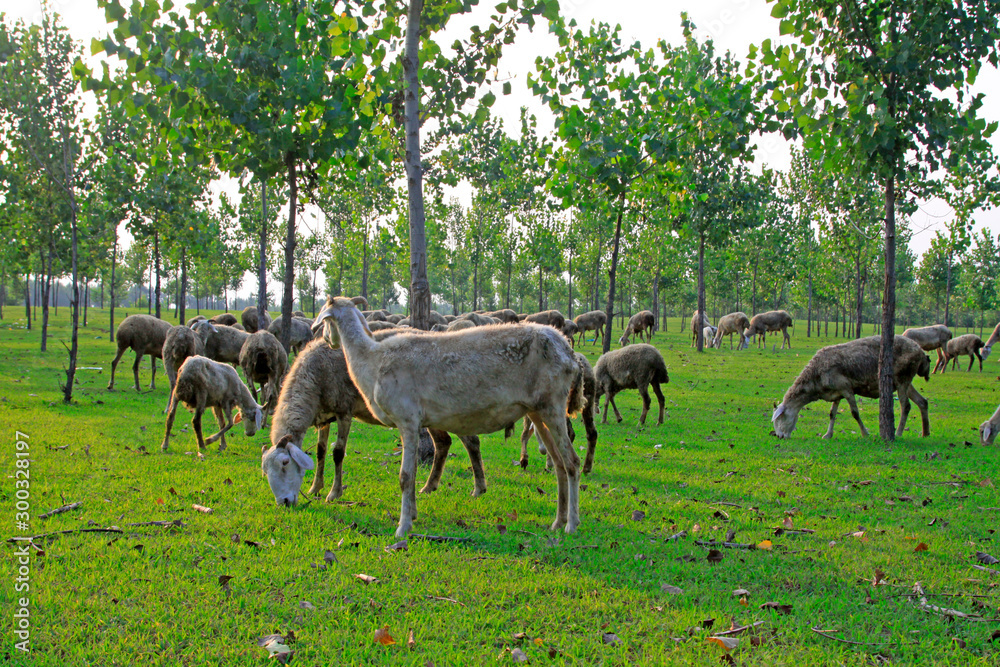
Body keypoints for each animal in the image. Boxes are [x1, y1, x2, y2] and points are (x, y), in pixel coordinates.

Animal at [261, 336, 487, 505]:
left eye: (285, 462)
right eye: (265, 470)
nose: (284, 502)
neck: (313, 379)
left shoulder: (344, 410)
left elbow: (337, 453)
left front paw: (334, 493)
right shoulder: (325, 416)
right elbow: (320, 452)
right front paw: (315, 487)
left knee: (471, 441)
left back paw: (479, 488)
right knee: (443, 442)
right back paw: (429, 487)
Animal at [310, 297, 584, 537]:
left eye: (324, 321)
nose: (327, 340)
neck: (371, 361)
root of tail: (568, 351)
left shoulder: (407, 419)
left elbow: (405, 477)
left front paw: (403, 527)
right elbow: (413, 474)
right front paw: (413, 514)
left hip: (553, 404)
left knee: (572, 461)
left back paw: (572, 524)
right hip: (538, 410)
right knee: (559, 463)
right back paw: (558, 522)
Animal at [772, 335, 931, 439]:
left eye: (779, 419)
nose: (779, 436)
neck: (815, 379)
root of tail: (921, 352)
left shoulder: (846, 388)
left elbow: (855, 413)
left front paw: (865, 433)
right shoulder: (836, 392)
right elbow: (832, 414)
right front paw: (827, 434)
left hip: (903, 377)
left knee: (906, 406)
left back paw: (898, 432)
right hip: (904, 381)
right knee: (922, 401)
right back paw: (925, 432)